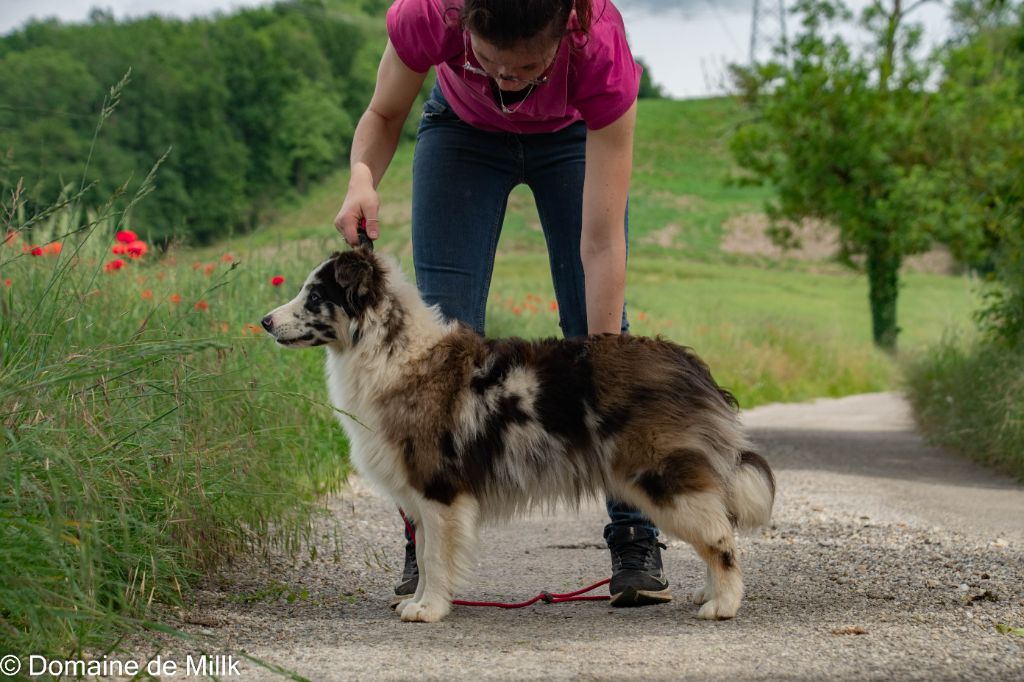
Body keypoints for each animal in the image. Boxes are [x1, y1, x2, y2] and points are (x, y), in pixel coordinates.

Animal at [262, 244, 774, 622]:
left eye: (314, 297)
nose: (265, 321)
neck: (390, 349)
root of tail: (690, 364)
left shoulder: (439, 490)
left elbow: (436, 558)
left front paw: (430, 609)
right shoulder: (423, 498)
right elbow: (423, 556)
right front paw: (419, 601)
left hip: (660, 478)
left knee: (722, 540)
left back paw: (722, 605)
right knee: (716, 533)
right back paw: (709, 595)